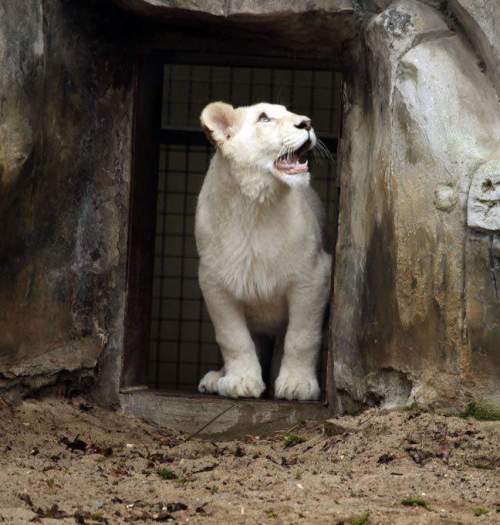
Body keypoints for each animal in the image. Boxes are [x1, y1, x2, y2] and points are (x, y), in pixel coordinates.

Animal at [195, 100, 332, 400]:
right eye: (264, 118)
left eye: (289, 112)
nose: (307, 123)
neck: (256, 206)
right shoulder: (214, 284)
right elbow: (233, 337)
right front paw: (241, 381)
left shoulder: (313, 277)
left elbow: (301, 336)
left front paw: (297, 384)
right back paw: (216, 378)